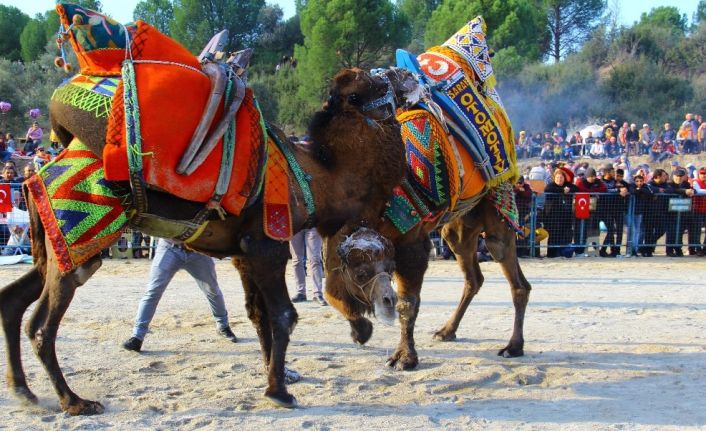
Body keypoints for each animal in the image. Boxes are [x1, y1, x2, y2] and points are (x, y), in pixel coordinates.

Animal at [0, 65, 412, 416]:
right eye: (366, 86)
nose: (402, 72)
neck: (315, 180)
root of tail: (36, 174)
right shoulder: (267, 245)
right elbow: (283, 315)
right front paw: (280, 392)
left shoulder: (245, 254)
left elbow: (259, 315)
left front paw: (278, 376)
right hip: (79, 237)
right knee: (42, 327)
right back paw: (74, 401)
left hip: (60, 247)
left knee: (14, 299)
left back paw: (24, 391)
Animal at [324, 66, 528, 372]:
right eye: (360, 274)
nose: (382, 300)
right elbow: (332, 291)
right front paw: (361, 330)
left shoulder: (411, 243)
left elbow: (407, 303)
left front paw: (404, 357)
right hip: (458, 226)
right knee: (473, 276)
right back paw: (447, 330)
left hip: (497, 207)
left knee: (510, 270)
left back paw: (513, 346)